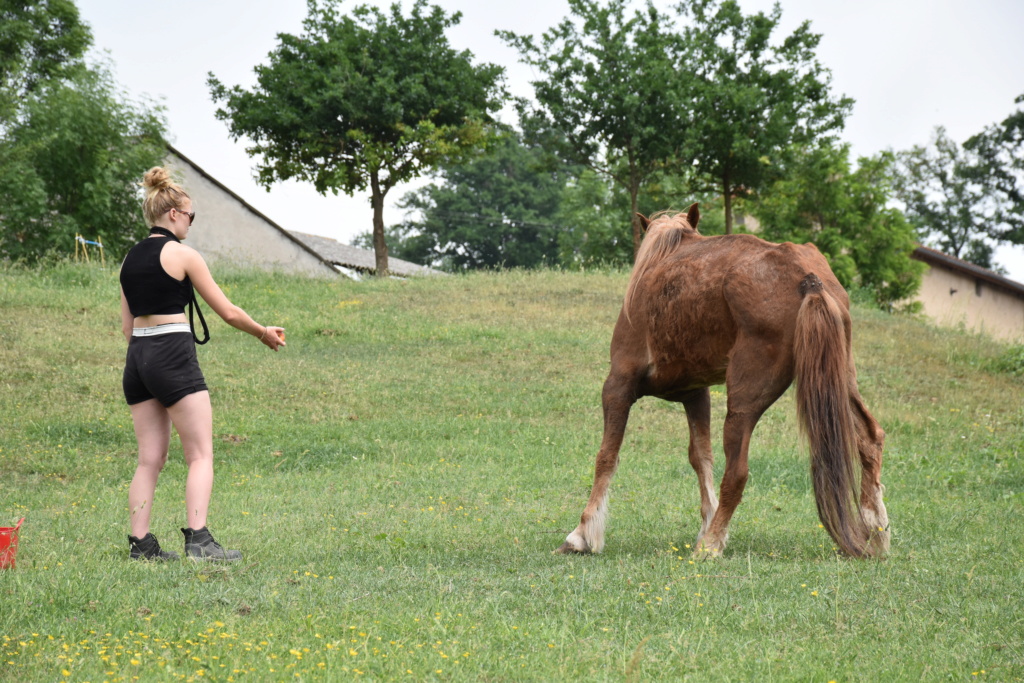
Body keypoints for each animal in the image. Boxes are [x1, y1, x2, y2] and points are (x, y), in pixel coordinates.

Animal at [561, 205, 888, 557]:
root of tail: (808, 277)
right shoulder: (695, 394)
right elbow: (700, 458)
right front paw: (706, 520)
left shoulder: (618, 385)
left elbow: (607, 456)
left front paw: (582, 534)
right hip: (840, 381)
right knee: (869, 440)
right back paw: (877, 531)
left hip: (744, 399)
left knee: (737, 472)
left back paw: (709, 546)